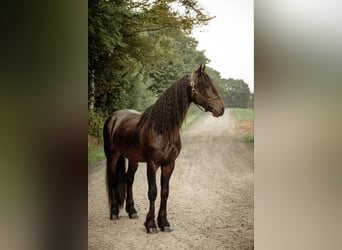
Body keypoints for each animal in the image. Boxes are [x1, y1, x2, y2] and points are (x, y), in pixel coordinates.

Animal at [102, 64, 224, 232]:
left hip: (133, 159)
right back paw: (114, 212)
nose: (221, 108)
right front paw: (151, 225)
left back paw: (132, 211)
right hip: (112, 156)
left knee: (128, 179)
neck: (161, 130)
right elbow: (153, 192)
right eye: (205, 85)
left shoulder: (169, 164)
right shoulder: (152, 164)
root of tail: (113, 117)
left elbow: (165, 192)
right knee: (113, 179)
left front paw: (164, 223)